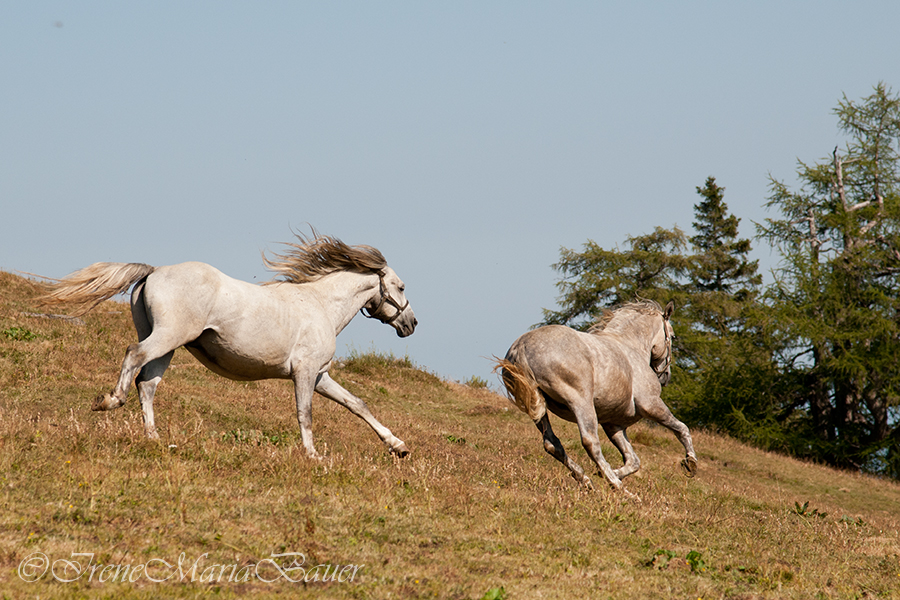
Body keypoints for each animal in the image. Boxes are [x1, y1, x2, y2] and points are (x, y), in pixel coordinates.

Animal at [44, 232, 416, 458]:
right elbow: (305, 414)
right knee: (133, 358)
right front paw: (313, 456)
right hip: (167, 337)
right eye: (400, 287)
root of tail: (155, 270)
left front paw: (397, 446)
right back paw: (109, 401)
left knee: (147, 384)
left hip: (167, 346)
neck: (320, 305)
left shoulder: (320, 376)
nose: (411, 324)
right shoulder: (305, 373)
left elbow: (357, 404)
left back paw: (154, 437)